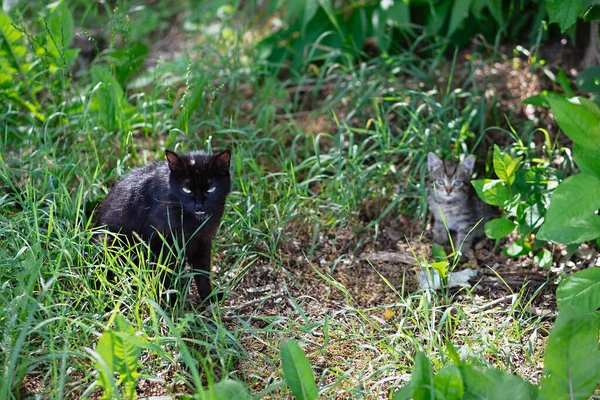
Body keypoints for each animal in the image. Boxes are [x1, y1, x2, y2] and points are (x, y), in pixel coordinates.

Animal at [97, 148, 231, 302]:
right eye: (186, 190)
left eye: (211, 189)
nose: (199, 205)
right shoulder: (164, 244)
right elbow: (167, 273)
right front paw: (170, 301)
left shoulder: (203, 241)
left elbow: (202, 273)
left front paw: (208, 297)